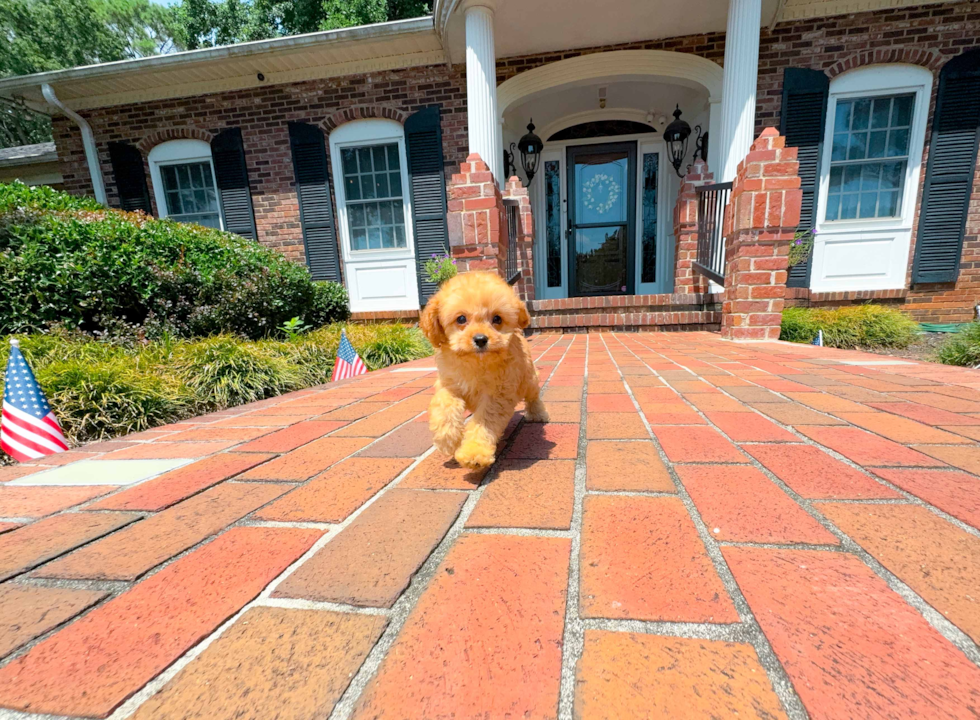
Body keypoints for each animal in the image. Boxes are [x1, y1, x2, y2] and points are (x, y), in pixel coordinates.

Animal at [418, 272, 548, 470]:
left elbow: (484, 421)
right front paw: (448, 439)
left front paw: (474, 453)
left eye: (497, 319)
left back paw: (538, 414)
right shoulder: (449, 384)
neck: (476, 363)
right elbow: (444, 406)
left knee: (533, 396)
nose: (480, 339)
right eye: (461, 319)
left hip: (529, 379)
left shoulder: (497, 396)